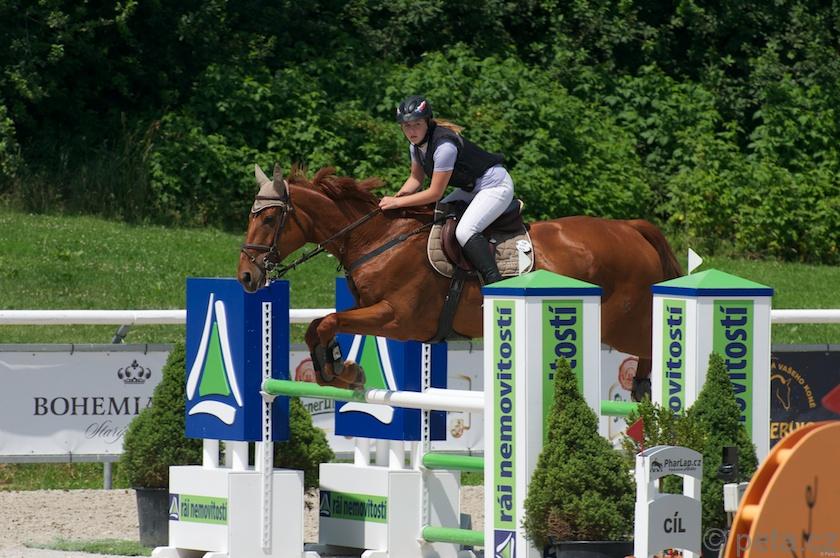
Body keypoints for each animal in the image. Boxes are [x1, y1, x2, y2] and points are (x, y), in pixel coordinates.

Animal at [238, 164, 683, 400]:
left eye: (268, 218)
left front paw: (341, 370)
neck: (377, 239)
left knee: (651, 342)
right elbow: (319, 324)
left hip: (621, 323)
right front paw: (339, 368)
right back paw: (643, 387)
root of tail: (631, 228)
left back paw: (653, 389)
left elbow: (329, 321)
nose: (246, 275)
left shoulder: (399, 319)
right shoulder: (371, 310)